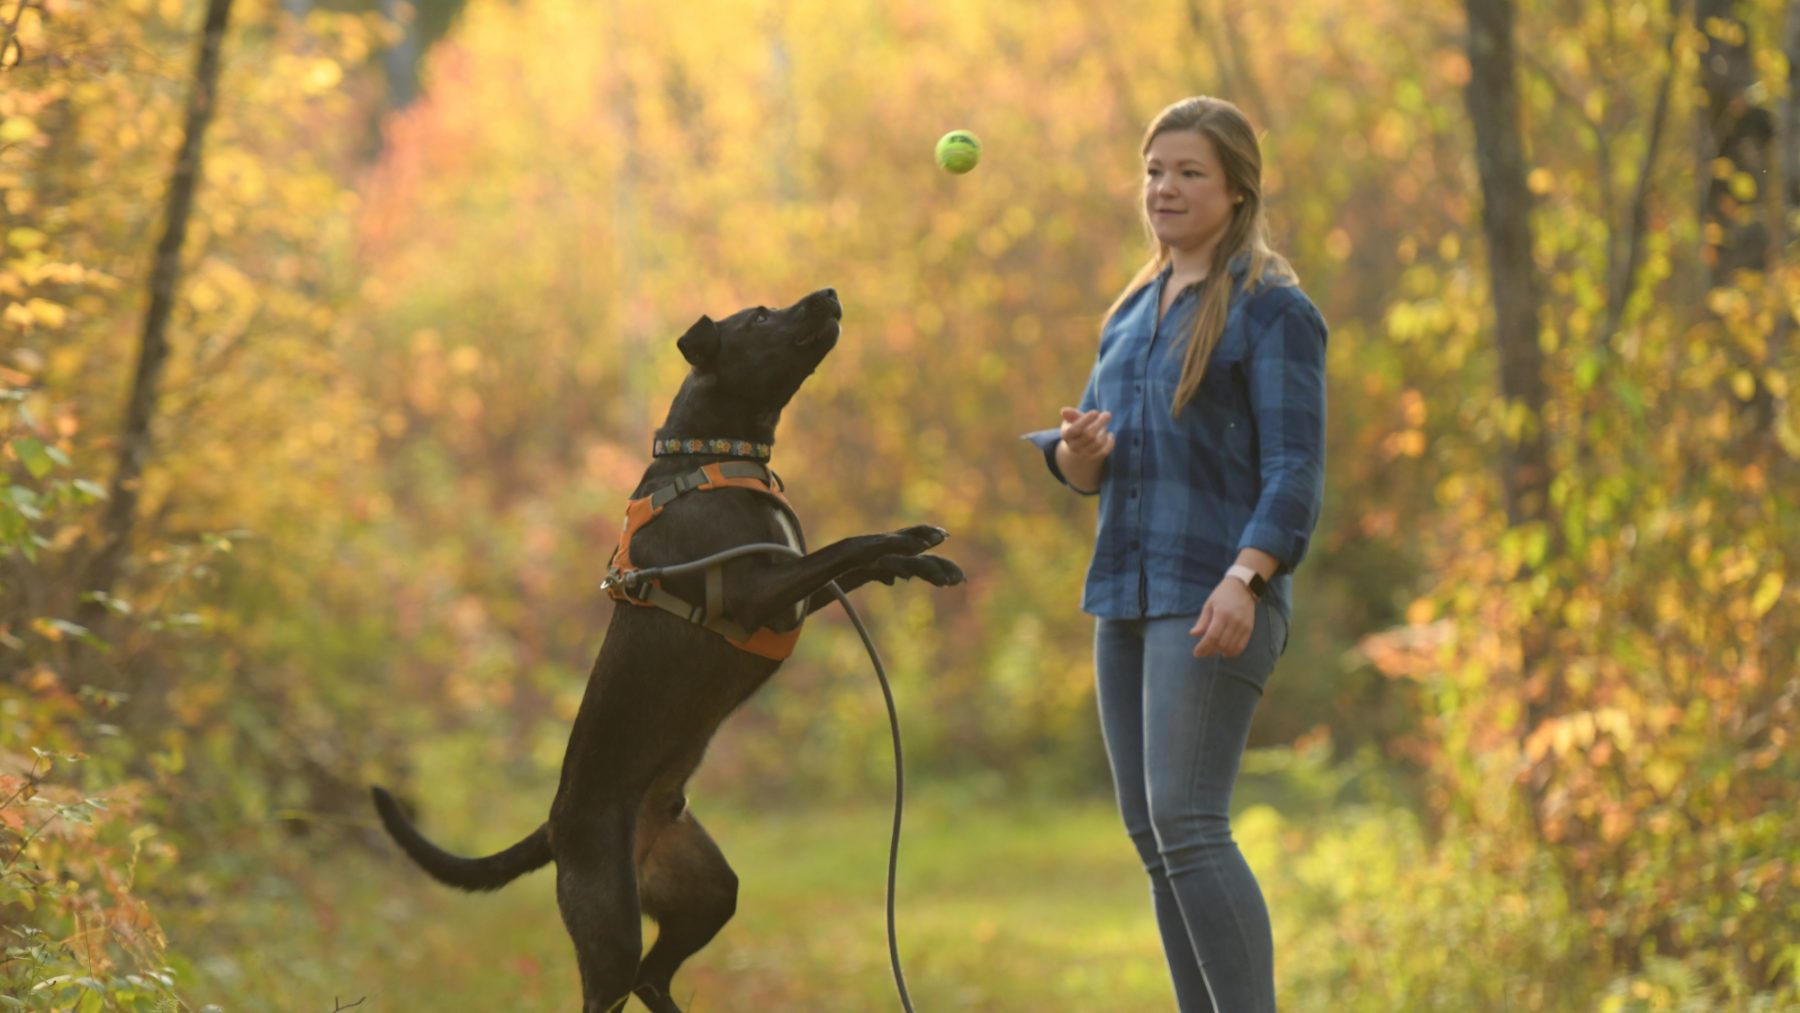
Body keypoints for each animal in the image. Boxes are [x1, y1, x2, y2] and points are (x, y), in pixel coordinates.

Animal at [369, 287, 972, 1013]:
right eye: (760, 317)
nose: (828, 293)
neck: (710, 454)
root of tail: (556, 826)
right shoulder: (760, 592)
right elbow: (848, 546)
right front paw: (908, 539)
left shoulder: (789, 591)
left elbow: (853, 564)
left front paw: (923, 560)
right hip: (610, 929)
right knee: (624, 978)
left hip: (707, 891)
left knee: (655, 975)